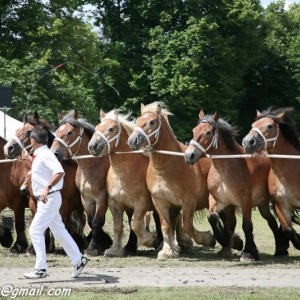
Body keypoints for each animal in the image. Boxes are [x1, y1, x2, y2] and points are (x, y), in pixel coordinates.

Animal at [3, 111, 88, 252]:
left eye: (29, 132)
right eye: (17, 130)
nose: (8, 148)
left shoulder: (65, 205)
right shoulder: (33, 202)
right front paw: (38, 246)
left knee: (82, 221)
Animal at [86, 109, 163, 256]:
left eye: (111, 129)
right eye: (97, 127)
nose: (93, 146)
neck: (122, 173)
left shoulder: (142, 203)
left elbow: (136, 224)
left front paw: (150, 240)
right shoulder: (114, 204)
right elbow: (119, 226)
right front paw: (115, 250)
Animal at [127, 102, 219, 258]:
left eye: (152, 122)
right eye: (138, 120)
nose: (133, 140)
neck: (167, 167)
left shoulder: (188, 201)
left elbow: (187, 225)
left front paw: (207, 239)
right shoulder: (160, 201)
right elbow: (166, 226)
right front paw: (167, 251)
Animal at [184, 110, 290, 260]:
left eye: (208, 133)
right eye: (194, 130)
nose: (189, 156)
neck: (226, 169)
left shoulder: (245, 202)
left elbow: (247, 226)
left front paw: (248, 252)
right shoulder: (218, 201)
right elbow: (213, 218)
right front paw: (226, 240)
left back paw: (281, 248)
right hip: (263, 205)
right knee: (272, 222)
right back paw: (280, 249)